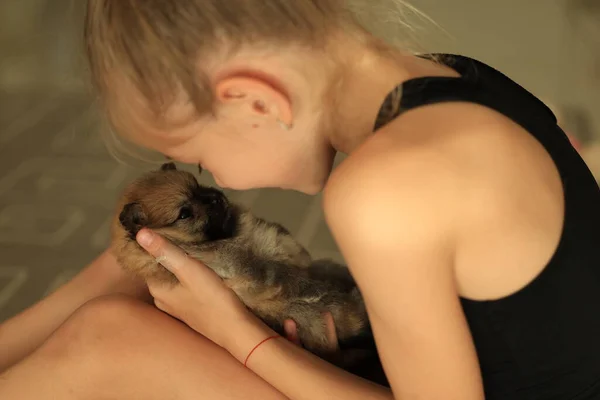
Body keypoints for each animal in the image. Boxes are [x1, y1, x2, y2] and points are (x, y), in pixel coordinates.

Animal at [110, 162, 386, 384]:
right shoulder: (243, 267)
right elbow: (278, 272)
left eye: (199, 186)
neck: (227, 234)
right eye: (184, 214)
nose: (216, 198)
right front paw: (307, 286)